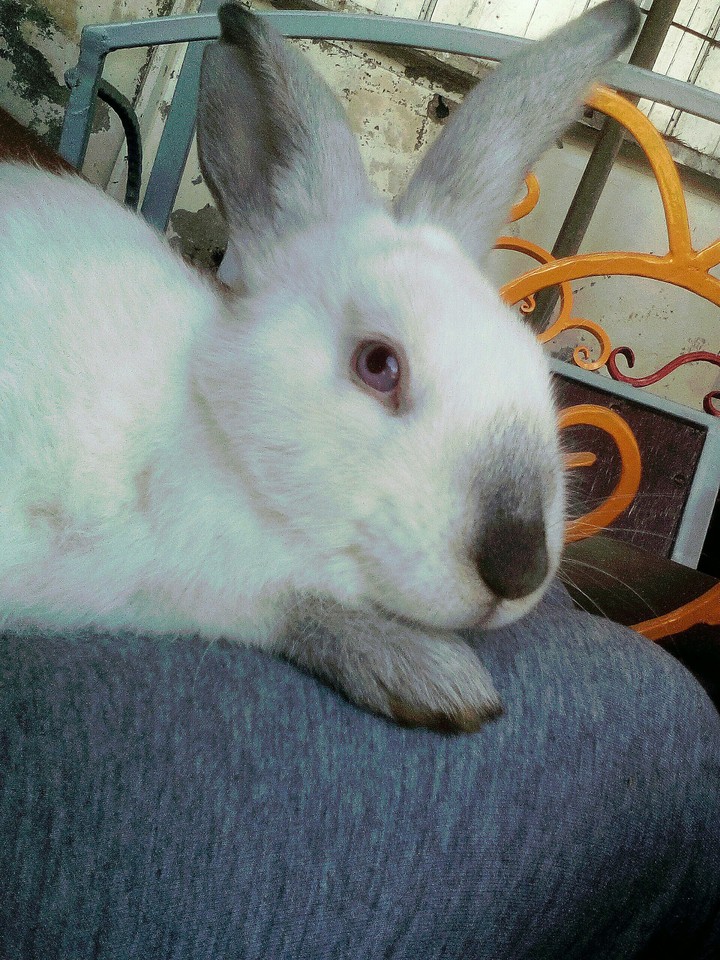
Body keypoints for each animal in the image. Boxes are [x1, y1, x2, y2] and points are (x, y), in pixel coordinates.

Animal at [0, 0, 640, 732]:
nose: (518, 567)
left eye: (533, 364)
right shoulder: (190, 573)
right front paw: (439, 680)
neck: (217, 434)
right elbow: (283, 603)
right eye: (378, 365)